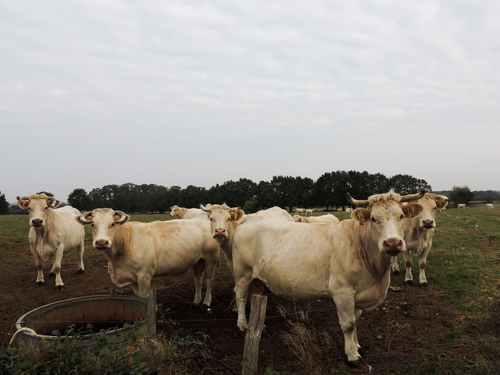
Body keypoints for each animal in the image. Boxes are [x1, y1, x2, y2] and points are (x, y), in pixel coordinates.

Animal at [77, 209, 219, 306]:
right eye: (92, 225)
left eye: (112, 224)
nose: (101, 242)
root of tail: (203, 220)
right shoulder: (132, 278)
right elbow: (138, 297)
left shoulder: (144, 276)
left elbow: (145, 297)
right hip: (198, 260)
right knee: (198, 279)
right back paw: (197, 300)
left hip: (210, 259)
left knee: (209, 280)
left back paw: (206, 301)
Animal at [232, 189, 424, 368]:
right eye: (373, 219)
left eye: (401, 216)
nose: (392, 243)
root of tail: (249, 220)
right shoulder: (342, 292)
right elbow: (348, 324)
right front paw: (353, 357)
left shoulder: (359, 294)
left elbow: (356, 322)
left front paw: (357, 346)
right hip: (242, 273)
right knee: (240, 295)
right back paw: (243, 325)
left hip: (257, 277)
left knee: (254, 295)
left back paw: (260, 327)